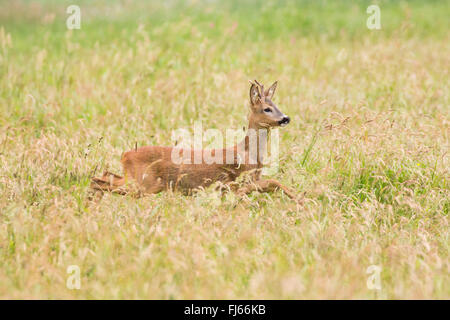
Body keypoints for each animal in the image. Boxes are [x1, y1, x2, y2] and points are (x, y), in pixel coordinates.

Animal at [91, 80, 300, 202]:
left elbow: (272, 183)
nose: (286, 118)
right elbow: (273, 181)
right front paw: (300, 198)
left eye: (276, 105)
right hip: (145, 183)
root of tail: (125, 154)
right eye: (266, 109)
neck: (249, 153)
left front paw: (299, 197)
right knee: (102, 180)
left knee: (103, 176)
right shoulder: (235, 183)